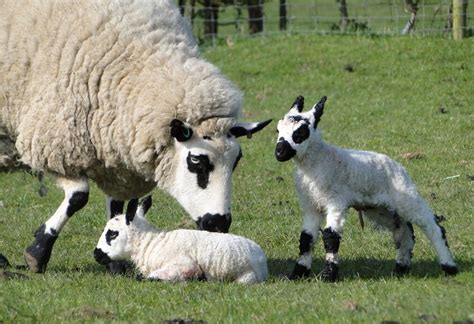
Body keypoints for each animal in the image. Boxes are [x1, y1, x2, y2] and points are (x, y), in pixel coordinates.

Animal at [0, 0, 270, 274]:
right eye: (196, 161)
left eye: (236, 161)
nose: (219, 225)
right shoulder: (56, 141)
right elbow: (78, 197)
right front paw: (38, 251)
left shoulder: (115, 158)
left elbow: (117, 208)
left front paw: (115, 261)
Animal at [94, 195, 268, 284]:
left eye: (112, 233)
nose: (96, 254)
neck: (150, 244)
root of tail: (261, 259)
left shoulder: (185, 265)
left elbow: (147, 277)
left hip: (246, 276)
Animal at [276, 94, 458, 280]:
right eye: (278, 130)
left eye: (300, 133)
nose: (279, 152)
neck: (318, 162)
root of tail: (399, 166)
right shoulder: (311, 205)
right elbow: (306, 238)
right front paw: (297, 273)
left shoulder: (336, 201)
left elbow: (330, 236)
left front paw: (328, 276)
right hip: (380, 208)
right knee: (404, 230)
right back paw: (401, 267)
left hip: (406, 197)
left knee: (433, 227)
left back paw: (449, 267)